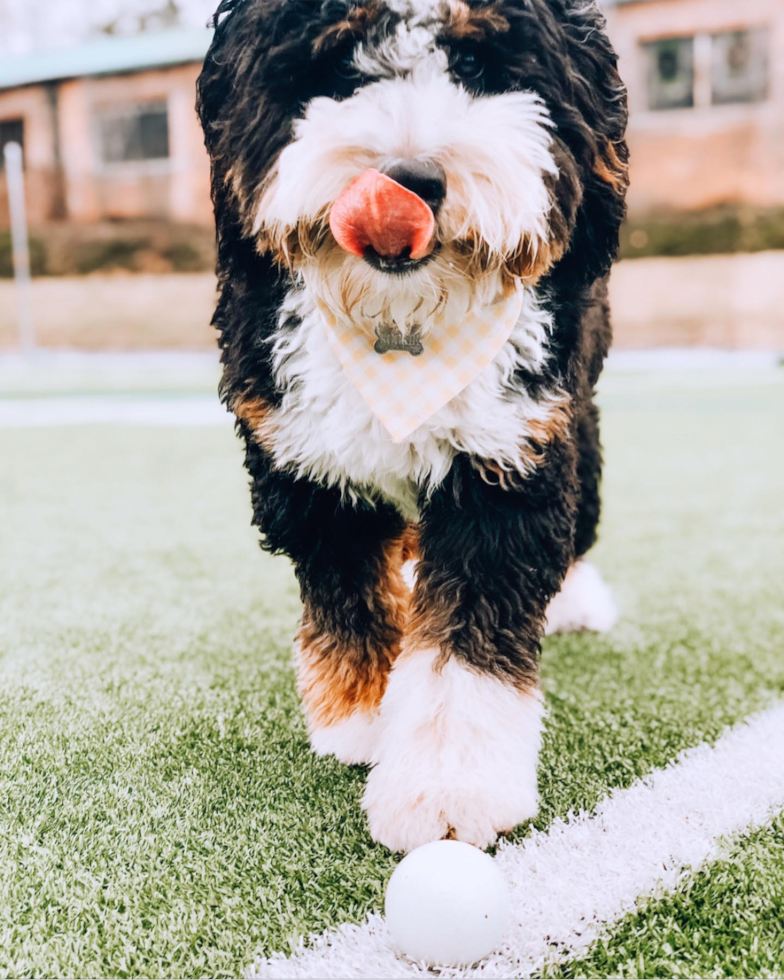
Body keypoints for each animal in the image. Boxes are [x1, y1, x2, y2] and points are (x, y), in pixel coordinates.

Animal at [198, 0, 632, 848]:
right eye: (338, 64)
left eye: (480, 66)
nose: (409, 182)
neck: (402, 328)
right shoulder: (309, 468)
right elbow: (349, 596)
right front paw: (364, 717)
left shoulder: (508, 457)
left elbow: (466, 642)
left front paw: (446, 786)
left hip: (580, 427)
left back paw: (574, 600)